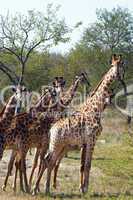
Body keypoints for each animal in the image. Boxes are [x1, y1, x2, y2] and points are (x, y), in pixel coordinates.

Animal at [31, 54, 125, 195]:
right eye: (113, 65)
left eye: (121, 65)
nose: (119, 76)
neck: (95, 109)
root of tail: (52, 128)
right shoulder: (91, 140)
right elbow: (87, 164)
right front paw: (85, 189)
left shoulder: (86, 143)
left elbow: (83, 165)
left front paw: (82, 188)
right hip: (55, 144)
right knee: (46, 161)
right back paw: (40, 188)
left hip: (58, 145)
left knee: (48, 161)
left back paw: (40, 188)